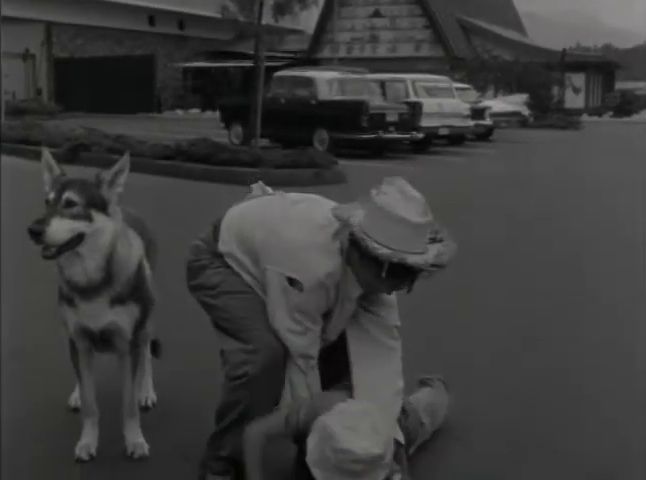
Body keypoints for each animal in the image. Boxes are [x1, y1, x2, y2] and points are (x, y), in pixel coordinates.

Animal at [29, 147, 162, 462]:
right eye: (47, 203)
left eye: (71, 204)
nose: (32, 230)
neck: (91, 280)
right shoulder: (79, 340)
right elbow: (91, 403)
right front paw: (87, 441)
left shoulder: (129, 344)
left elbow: (129, 404)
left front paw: (135, 439)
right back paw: (77, 392)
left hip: (145, 327)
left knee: (147, 356)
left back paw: (146, 390)